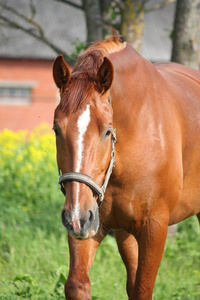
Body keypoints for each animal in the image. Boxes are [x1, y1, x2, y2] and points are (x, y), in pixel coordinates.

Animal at [52, 35, 200, 300]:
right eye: (56, 129)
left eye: (107, 131)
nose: (77, 216)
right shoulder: (90, 223)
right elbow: (77, 284)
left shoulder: (155, 227)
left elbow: (143, 288)